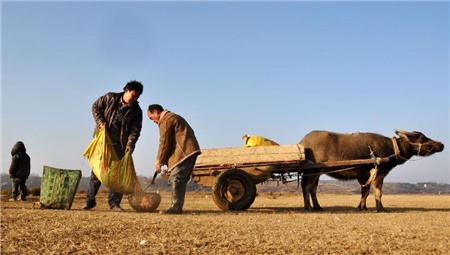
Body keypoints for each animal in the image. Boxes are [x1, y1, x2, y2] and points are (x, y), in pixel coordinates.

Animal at [300, 128, 444, 212]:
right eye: (422, 138)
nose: (441, 144)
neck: (390, 149)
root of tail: (304, 142)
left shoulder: (364, 176)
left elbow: (365, 192)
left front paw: (362, 207)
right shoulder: (379, 173)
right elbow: (377, 192)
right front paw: (381, 208)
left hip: (317, 172)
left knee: (312, 188)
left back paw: (317, 207)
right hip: (313, 171)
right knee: (307, 187)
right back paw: (308, 207)